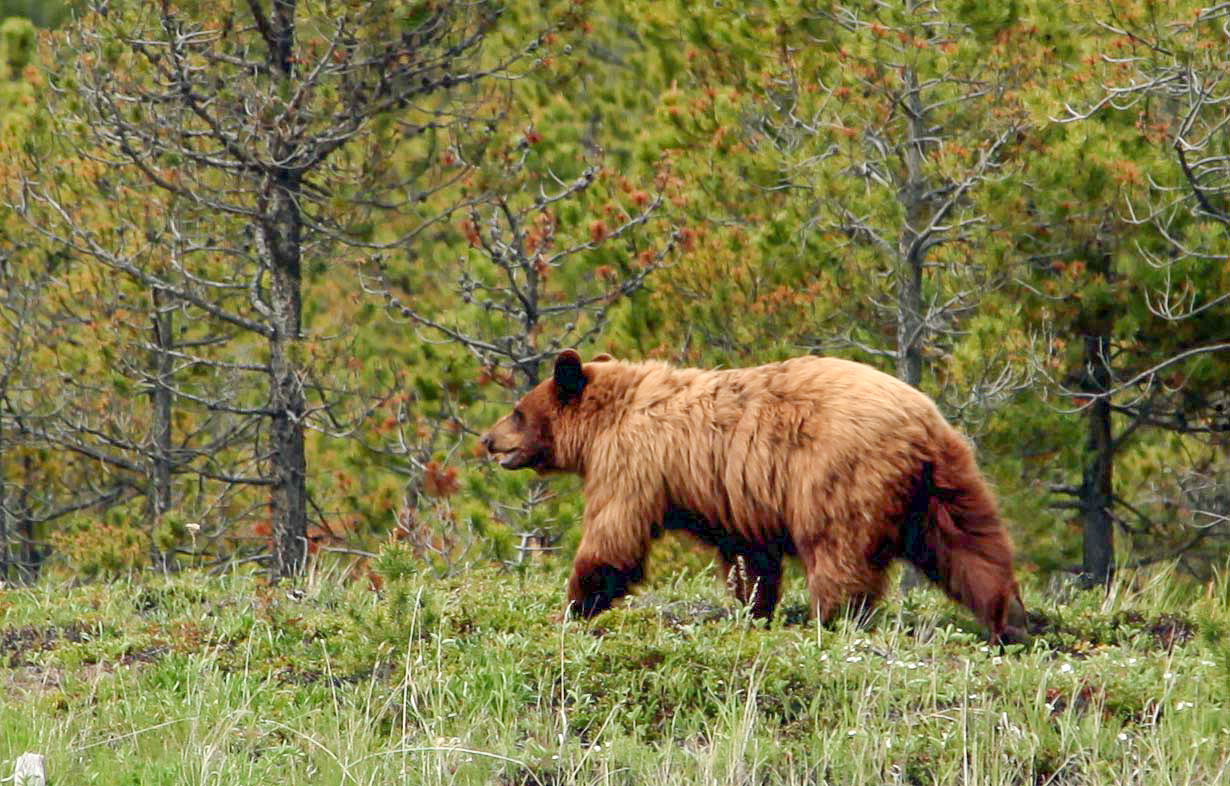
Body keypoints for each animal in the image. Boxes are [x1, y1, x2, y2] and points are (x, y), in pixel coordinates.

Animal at [479, 349, 1028, 644]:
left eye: (518, 411)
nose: (487, 440)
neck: (606, 419)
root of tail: (921, 423)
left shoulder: (633, 461)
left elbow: (614, 537)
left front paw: (573, 606)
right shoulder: (735, 500)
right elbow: (750, 557)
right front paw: (752, 609)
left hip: (841, 474)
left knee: (839, 552)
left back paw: (831, 619)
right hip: (945, 485)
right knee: (974, 550)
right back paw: (1013, 622)